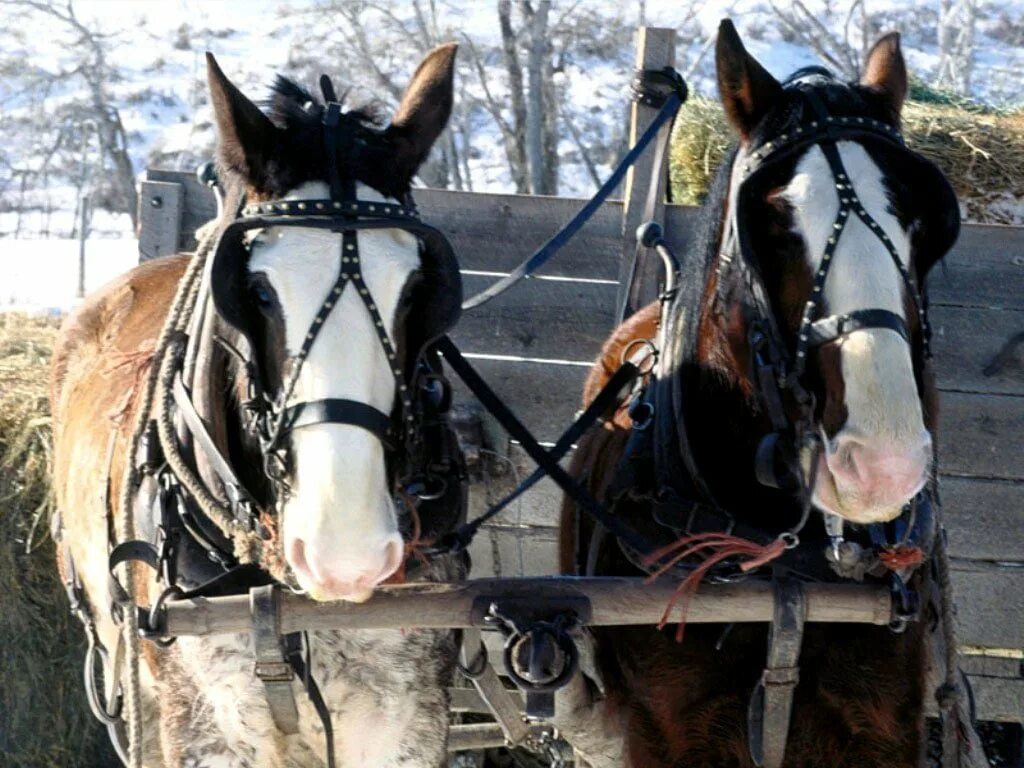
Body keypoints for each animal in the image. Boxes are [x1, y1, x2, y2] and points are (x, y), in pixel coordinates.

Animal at [557, 20, 962, 765]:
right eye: (773, 223)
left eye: (922, 223)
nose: (882, 465)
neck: (782, 572)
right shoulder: (664, 734)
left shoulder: (885, 726)